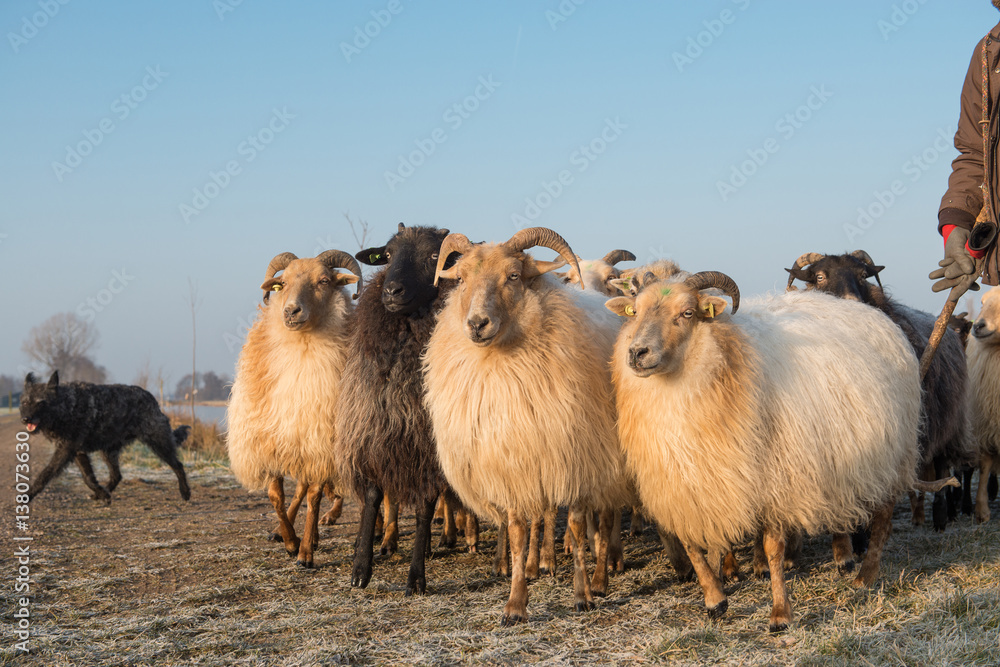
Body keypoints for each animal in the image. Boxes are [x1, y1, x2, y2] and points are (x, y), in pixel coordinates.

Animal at [226, 249, 361, 568]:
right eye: (283, 283)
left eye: (324, 280)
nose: (290, 311)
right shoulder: (269, 442)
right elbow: (276, 496)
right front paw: (289, 540)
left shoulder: (321, 446)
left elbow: (313, 498)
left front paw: (305, 553)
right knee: (297, 490)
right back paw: (283, 531)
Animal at [336, 223, 477, 597]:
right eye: (387, 254)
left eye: (434, 256)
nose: (391, 290)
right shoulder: (374, 430)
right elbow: (373, 497)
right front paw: (360, 569)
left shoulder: (428, 445)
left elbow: (427, 505)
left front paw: (416, 577)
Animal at [424, 226, 631, 624]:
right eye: (461, 279)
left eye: (514, 276)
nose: (476, 324)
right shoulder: (515, 463)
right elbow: (519, 533)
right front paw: (516, 602)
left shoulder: (574, 457)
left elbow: (578, 527)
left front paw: (582, 594)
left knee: (604, 518)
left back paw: (601, 575)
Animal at [606, 272, 920, 632]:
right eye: (635, 311)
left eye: (687, 313)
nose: (637, 352)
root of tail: (878, 316)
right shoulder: (684, 485)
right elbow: (692, 546)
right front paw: (715, 599)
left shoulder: (776, 478)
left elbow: (773, 549)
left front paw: (780, 613)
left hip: (894, 454)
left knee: (883, 519)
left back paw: (865, 576)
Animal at [786, 250, 976, 534]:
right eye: (819, 276)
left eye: (863, 275)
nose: (852, 303)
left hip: (946, 416)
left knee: (942, 464)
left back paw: (941, 517)